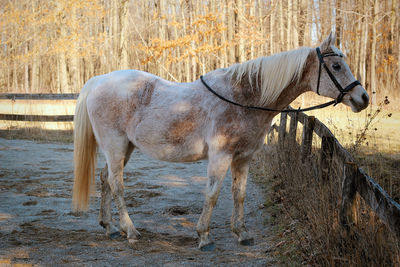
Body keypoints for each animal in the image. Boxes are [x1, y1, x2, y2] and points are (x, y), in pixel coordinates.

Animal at [72, 33, 368, 251]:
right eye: (336, 65)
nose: (362, 98)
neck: (244, 98)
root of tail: (97, 81)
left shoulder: (244, 157)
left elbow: (239, 194)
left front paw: (242, 233)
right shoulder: (220, 156)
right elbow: (212, 194)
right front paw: (204, 237)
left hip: (125, 148)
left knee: (105, 179)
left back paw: (110, 227)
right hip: (115, 146)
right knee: (116, 184)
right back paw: (130, 231)